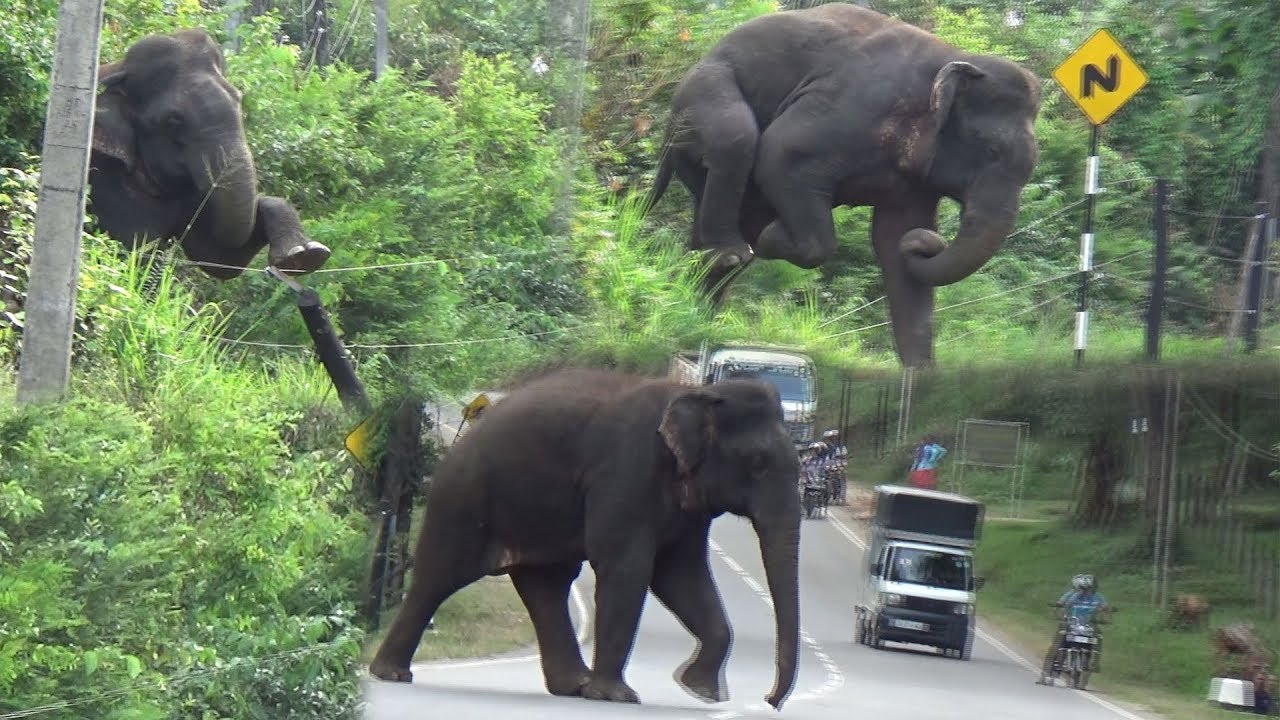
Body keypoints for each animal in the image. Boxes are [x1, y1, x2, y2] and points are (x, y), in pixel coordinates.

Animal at [88, 28, 330, 280]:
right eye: (173, 120)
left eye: (239, 99)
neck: (118, 67)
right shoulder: (105, 178)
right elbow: (141, 254)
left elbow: (218, 257)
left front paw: (305, 255)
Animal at [368, 367, 802, 710]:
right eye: (758, 463)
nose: (769, 700)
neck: (697, 393)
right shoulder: (625, 472)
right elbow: (629, 570)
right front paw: (617, 697)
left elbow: (681, 575)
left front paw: (701, 691)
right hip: (463, 497)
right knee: (440, 577)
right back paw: (391, 674)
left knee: (548, 586)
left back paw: (573, 686)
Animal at [646, 4, 1043, 367]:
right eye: (991, 151)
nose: (927, 243)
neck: (953, 56)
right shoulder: (852, 108)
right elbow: (781, 154)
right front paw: (774, 237)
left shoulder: (913, 181)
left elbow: (893, 240)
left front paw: (919, 381)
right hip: (701, 95)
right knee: (736, 138)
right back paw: (731, 255)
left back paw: (696, 313)